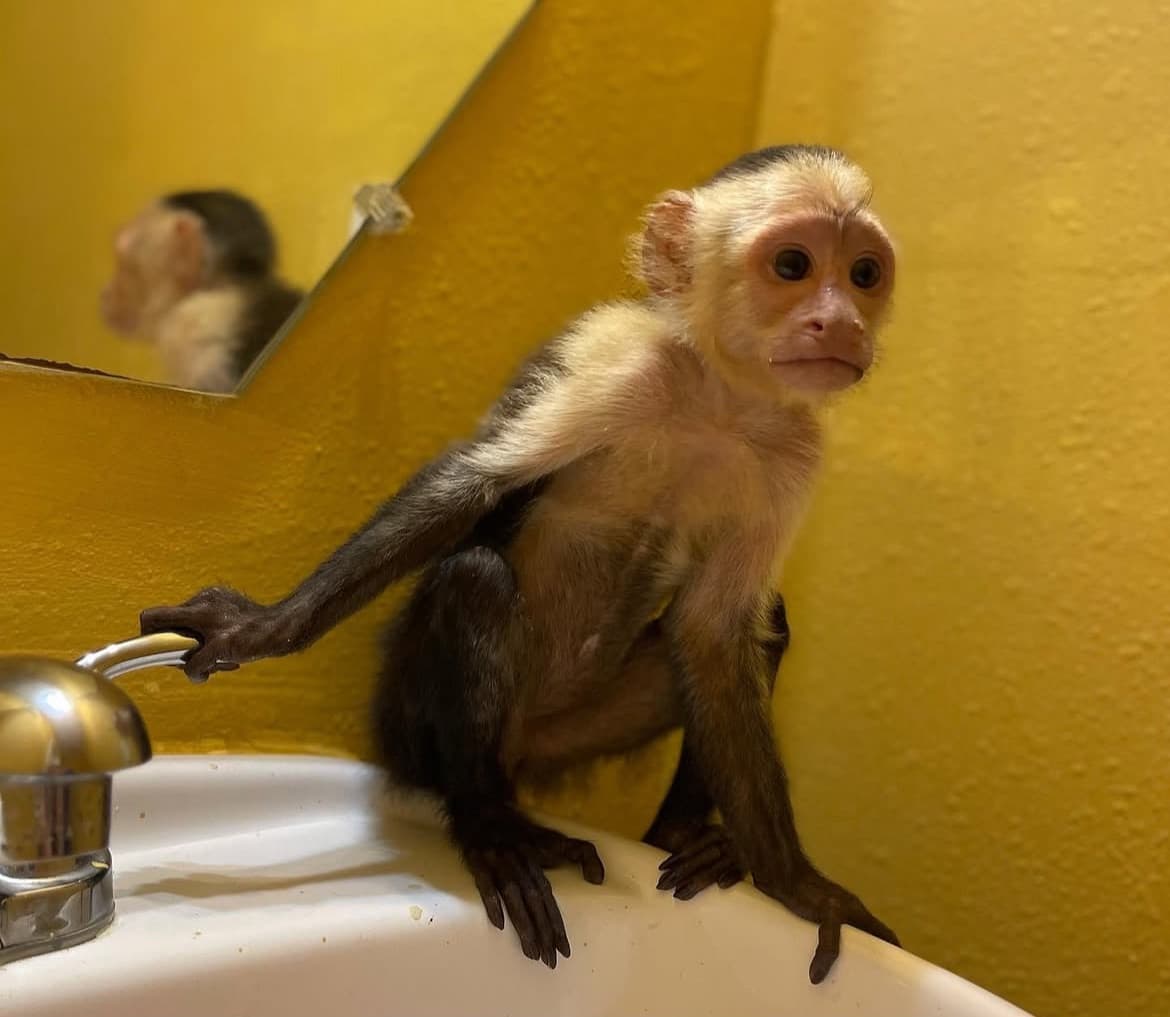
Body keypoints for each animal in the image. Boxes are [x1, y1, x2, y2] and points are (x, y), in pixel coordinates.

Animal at [140, 144, 900, 984]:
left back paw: (681, 836)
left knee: (754, 628)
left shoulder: (794, 451)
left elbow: (714, 630)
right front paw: (266, 627)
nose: (840, 321)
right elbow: (470, 490)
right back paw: (489, 825)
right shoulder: (617, 359)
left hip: (563, 733)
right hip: (410, 727)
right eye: (793, 264)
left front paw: (797, 883)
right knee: (473, 579)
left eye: (864, 273)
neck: (719, 400)